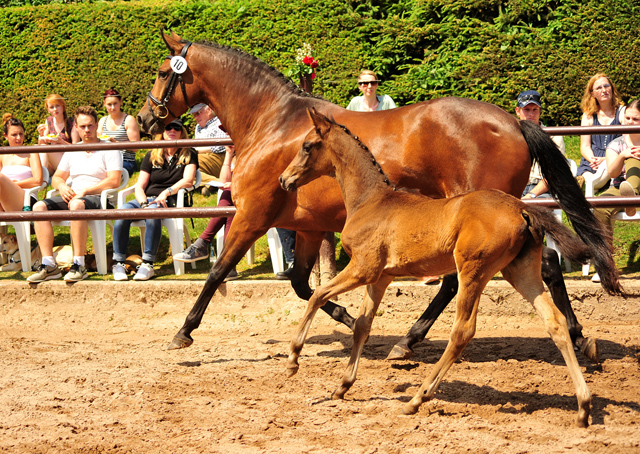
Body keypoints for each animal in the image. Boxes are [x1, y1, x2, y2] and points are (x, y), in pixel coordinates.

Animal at [282, 108, 592, 428]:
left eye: (307, 146)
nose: (284, 179)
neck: (372, 201)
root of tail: (523, 209)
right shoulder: (380, 278)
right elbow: (362, 325)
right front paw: (343, 386)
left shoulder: (363, 269)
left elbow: (317, 296)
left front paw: (293, 360)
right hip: (519, 272)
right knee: (554, 322)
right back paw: (583, 406)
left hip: (473, 270)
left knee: (462, 331)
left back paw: (418, 398)